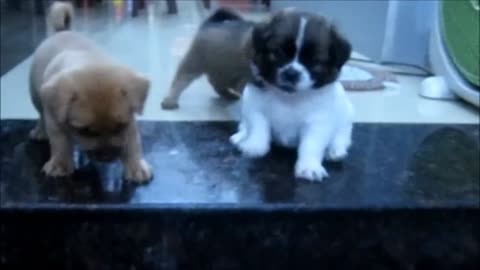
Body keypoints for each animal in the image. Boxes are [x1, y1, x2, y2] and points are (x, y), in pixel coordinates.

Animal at [29, 1, 152, 182]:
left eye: (120, 126)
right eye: (84, 131)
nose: (107, 157)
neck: (89, 60)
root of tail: (62, 31)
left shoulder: (130, 124)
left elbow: (132, 144)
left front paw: (136, 166)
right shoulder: (55, 121)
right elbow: (60, 143)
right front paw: (60, 164)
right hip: (37, 98)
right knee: (41, 116)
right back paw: (40, 131)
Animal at [231, 8, 354, 181]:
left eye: (315, 62)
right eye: (277, 53)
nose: (291, 73)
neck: (290, 98)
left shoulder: (318, 122)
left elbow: (311, 145)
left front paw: (309, 166)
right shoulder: (254, 108)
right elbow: (258, 128)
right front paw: (254, 146)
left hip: (346, 117)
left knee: (341, 136)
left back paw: (335, 150)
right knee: (245, 125)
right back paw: (241, 136)